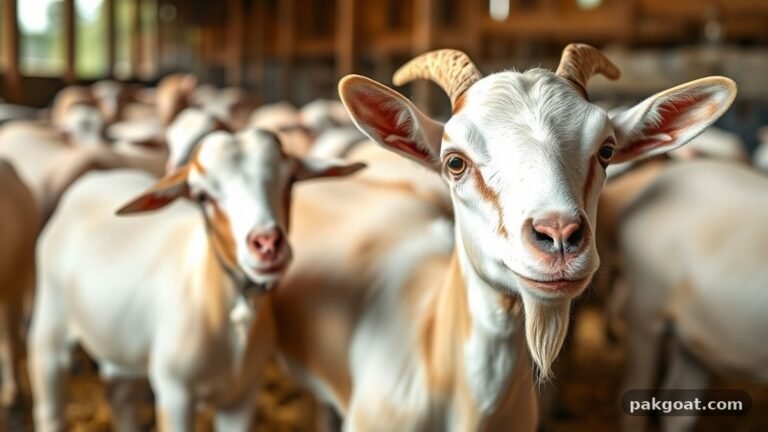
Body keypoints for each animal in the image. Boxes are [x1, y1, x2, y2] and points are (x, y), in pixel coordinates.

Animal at [28, 128, 364, 431]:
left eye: (291, 180)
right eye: (202, 196)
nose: (267, 244)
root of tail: (93, 181)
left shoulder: (242, 394)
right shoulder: (174, 392)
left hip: (118, 342)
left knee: (120, 397)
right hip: (50, 323)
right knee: (50, 407)